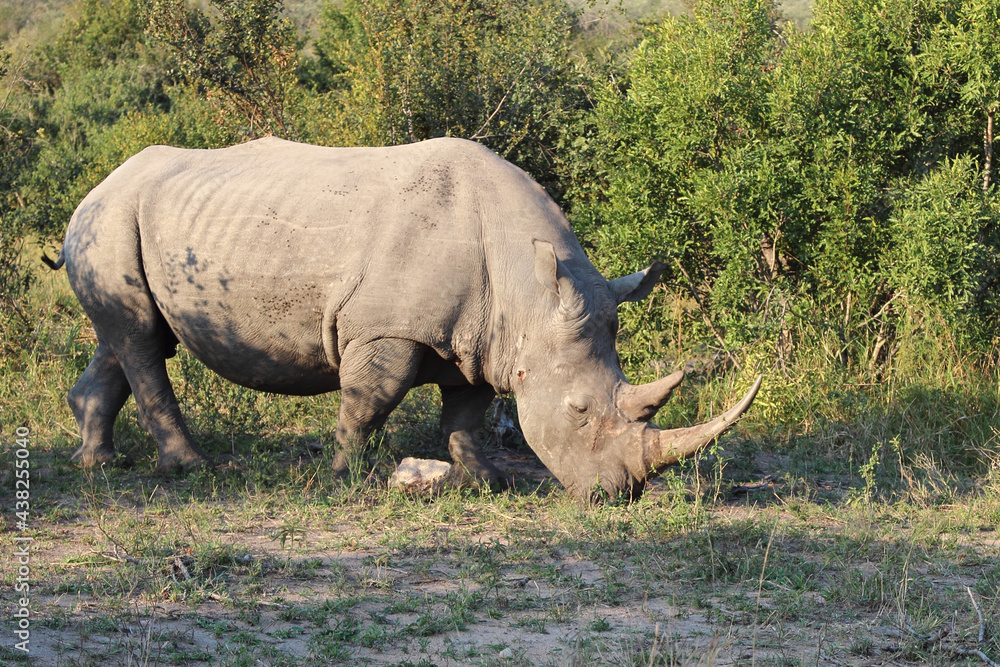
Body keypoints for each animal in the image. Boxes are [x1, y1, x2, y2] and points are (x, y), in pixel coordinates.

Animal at [54, 136, 760, 503]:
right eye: (580, 411)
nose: (620, 495)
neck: (528, 293)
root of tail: (97, 184)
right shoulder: (387, 327)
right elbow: (371, 398)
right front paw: (344, 477)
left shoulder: (484, 335)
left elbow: (467, 410)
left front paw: (484, 481)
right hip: (110, 216)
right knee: (142, 342)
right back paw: (192, 470)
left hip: (123, 222)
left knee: (132, 337)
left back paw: (99, 464)